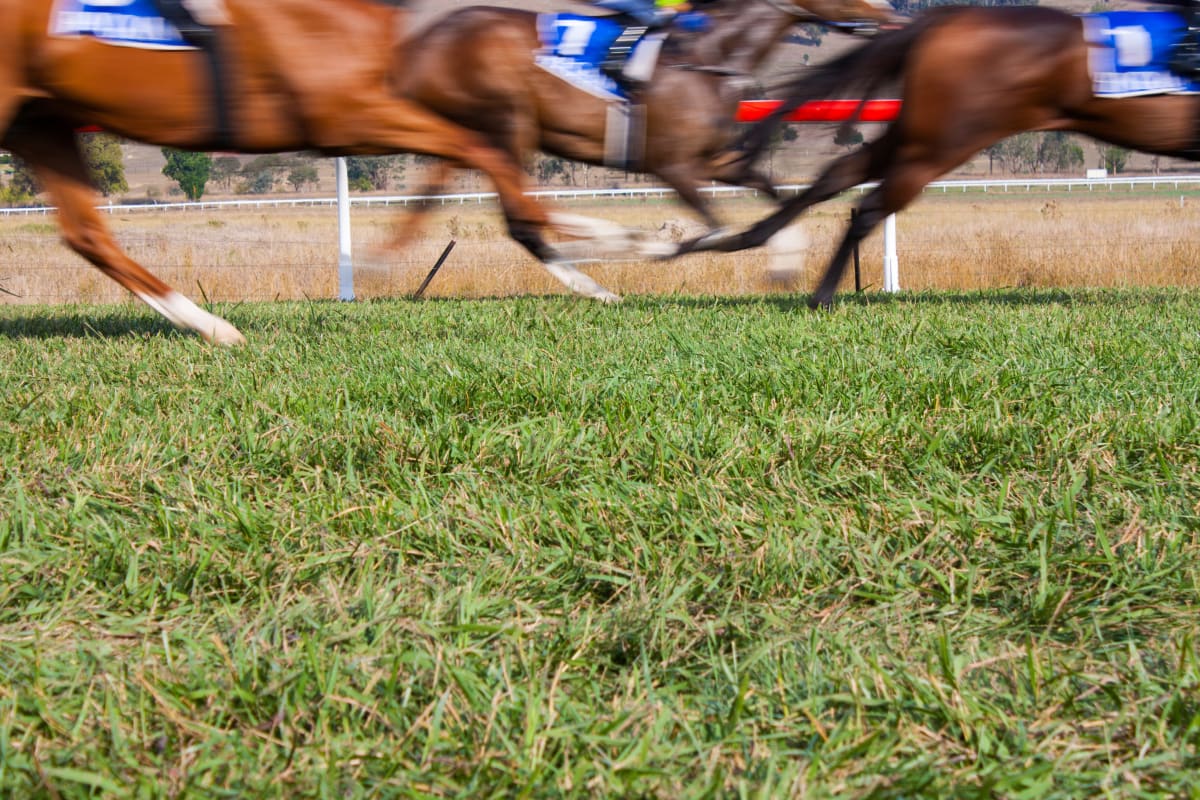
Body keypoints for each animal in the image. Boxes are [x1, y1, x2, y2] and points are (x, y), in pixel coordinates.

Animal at [0, 0, 580, 340]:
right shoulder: (344, 112)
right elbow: (478, 150)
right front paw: (565, 239)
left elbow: (469, 156)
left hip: (41, 124)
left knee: (87, 234)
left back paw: (211, 326)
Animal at [391, 0, 902, 297]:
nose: (891, 15)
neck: (708, 53)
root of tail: (419, 47)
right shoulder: (672, 166)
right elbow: (719, 230)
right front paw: (654, 245)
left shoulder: (716, 160)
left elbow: (777, 202)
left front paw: (786, 263)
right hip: (506, 121)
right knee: (522, 219)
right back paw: (602, 270)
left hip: (473, 136)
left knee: (508, 213)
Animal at [681, 4, 1200, 309]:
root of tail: (940, 21)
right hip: (946, 138)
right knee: (869, 207)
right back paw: (821, 294)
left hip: (919, 131)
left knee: (839, 175)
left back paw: (741, 241)